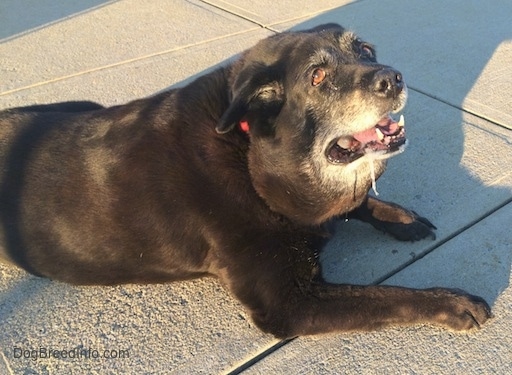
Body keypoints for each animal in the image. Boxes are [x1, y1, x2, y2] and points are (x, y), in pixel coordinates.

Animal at [0, 25, 490, 340]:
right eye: (317, 76)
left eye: (366, 50)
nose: (393, 77)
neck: (253, 154)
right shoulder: (290, 304)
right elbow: (386, 296)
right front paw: (450, 302)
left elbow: (356, 203)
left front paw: (400, 217)